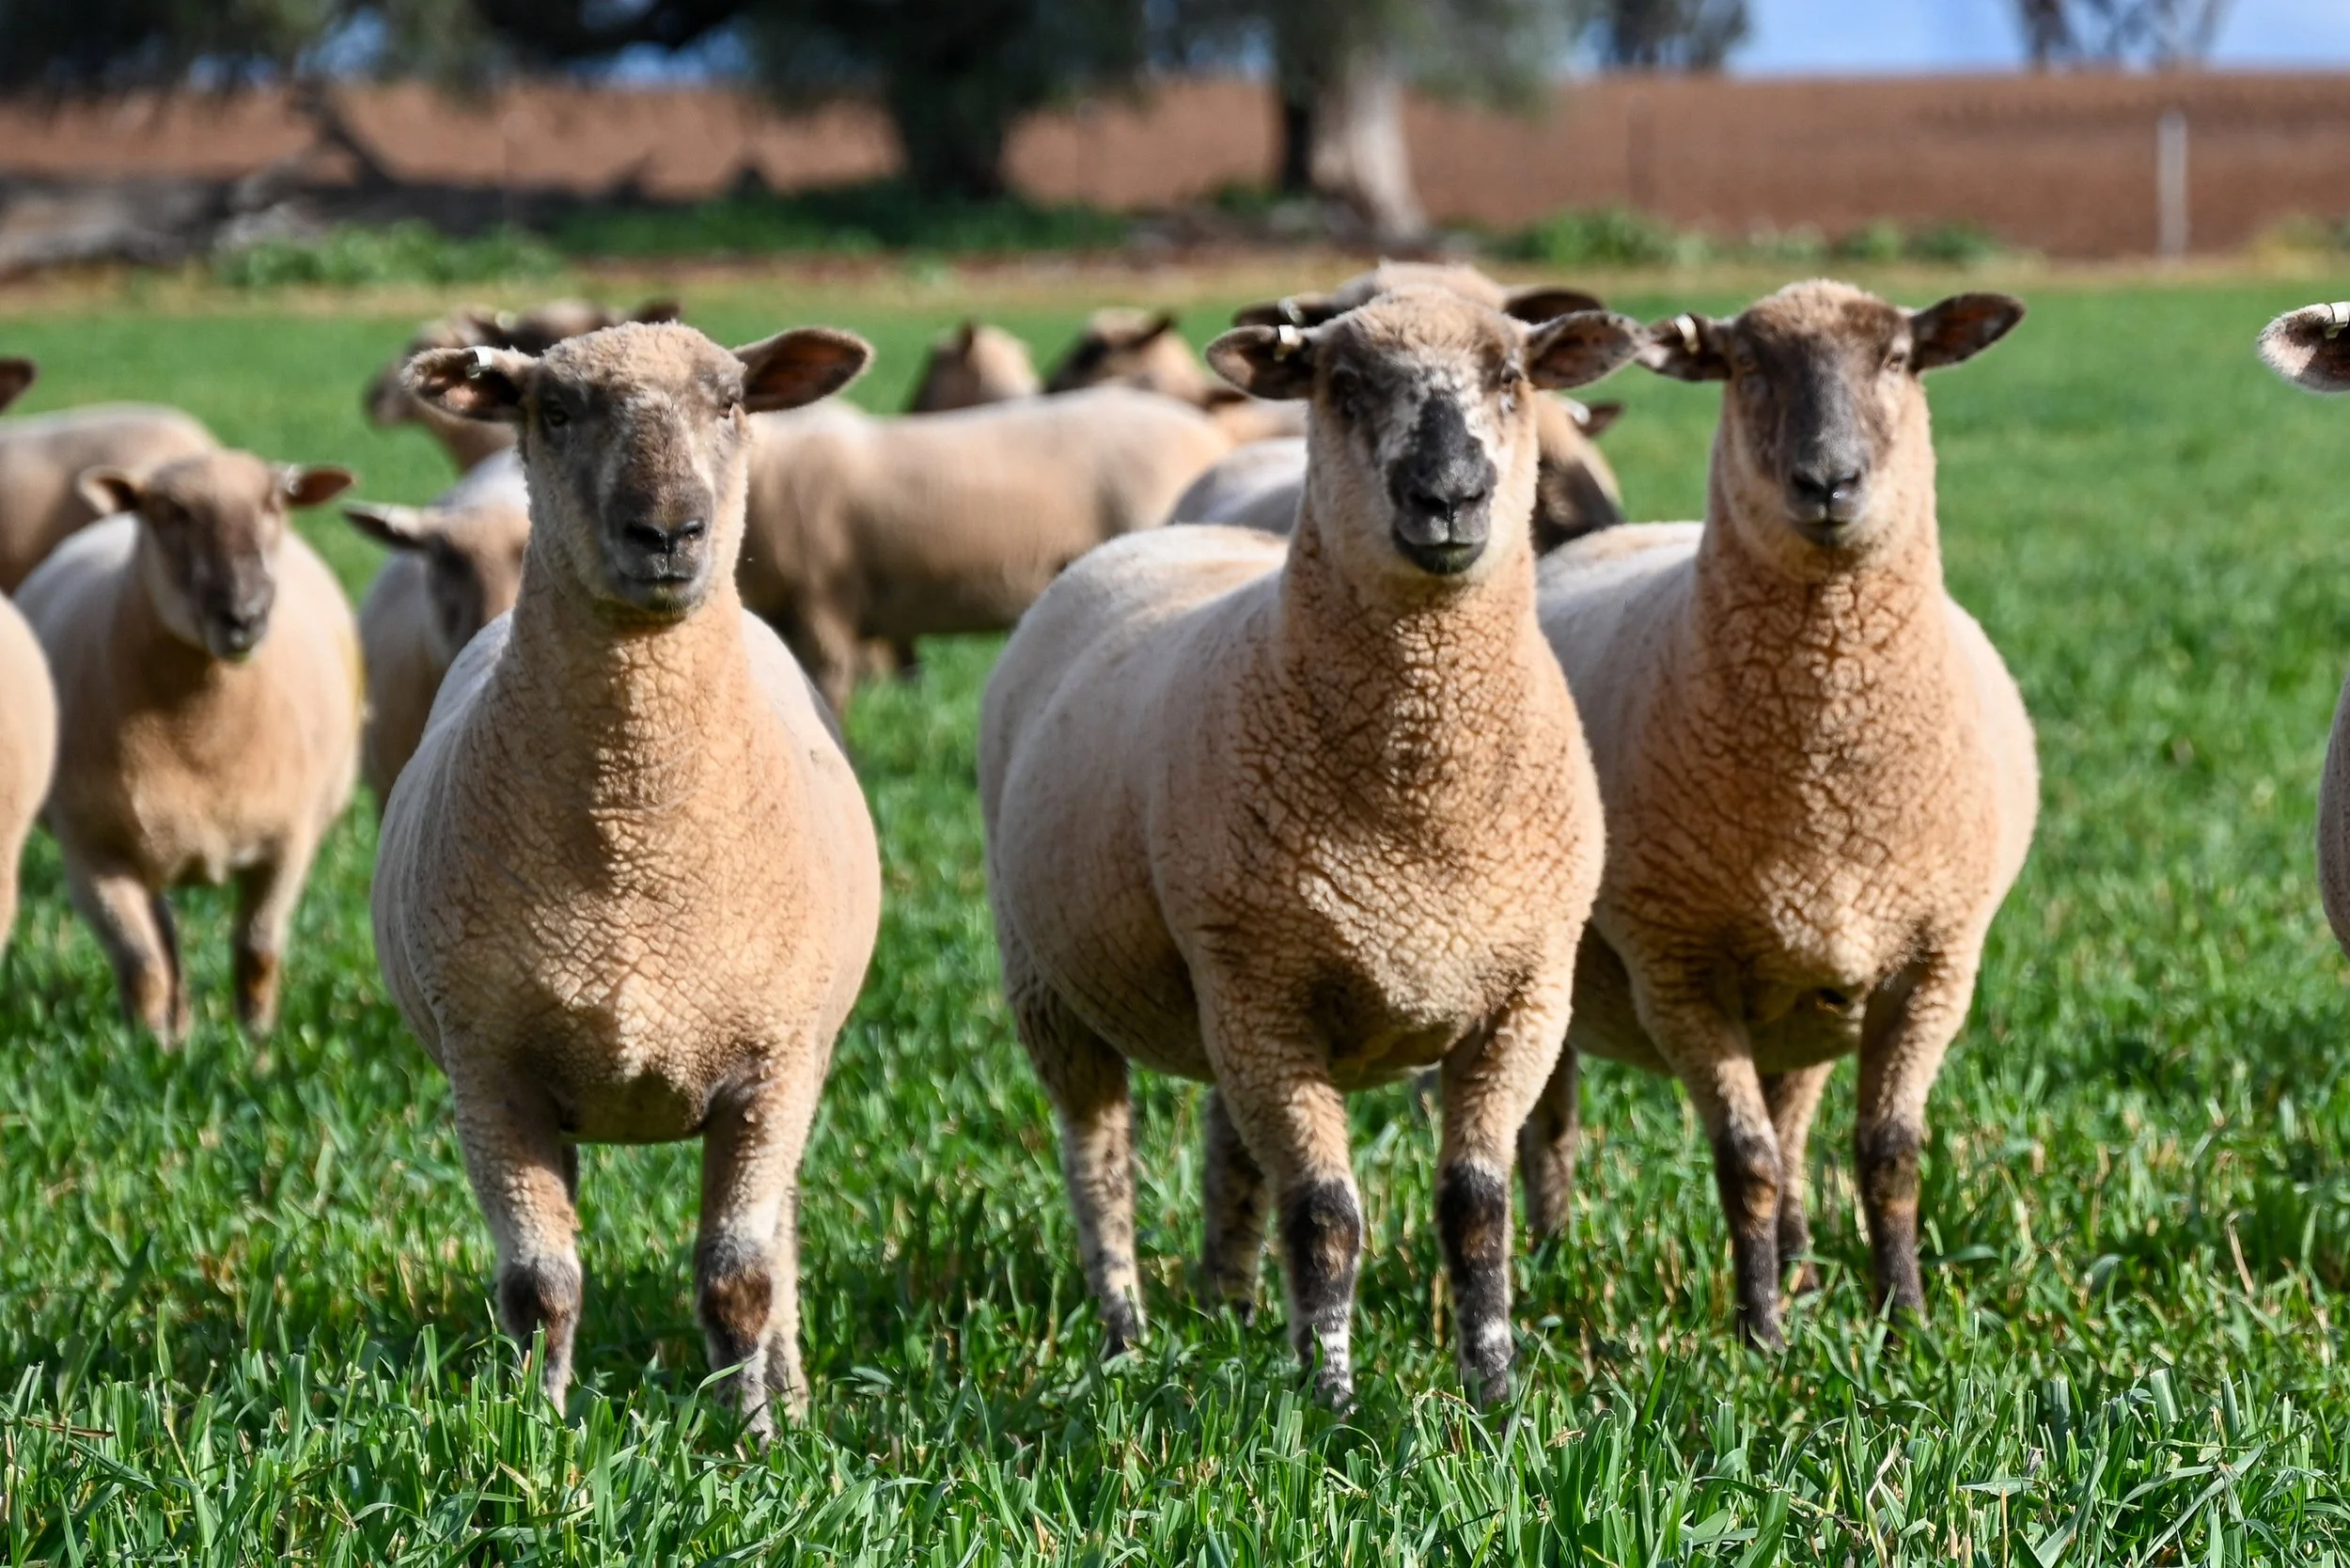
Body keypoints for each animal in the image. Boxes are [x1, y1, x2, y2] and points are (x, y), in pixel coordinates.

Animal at [17, 450, 361, 1039]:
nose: (245, 618)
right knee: (165, 940)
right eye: (172, 511)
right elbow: (143, 965)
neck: (199, 739)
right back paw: (175, 1031)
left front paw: (256, 1046)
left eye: (275, 503)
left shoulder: (289, 844)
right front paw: (150, 1049)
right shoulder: (92, 851)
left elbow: (257, 952)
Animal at [373, 320, 882, 1434]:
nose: (668, 531)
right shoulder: (491, 1071)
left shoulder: (772, 1065)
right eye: (554, 410)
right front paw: (535, 1434)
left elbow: (739, 1278)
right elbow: (541, 1284)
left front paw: (756, 1438)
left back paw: (791, 1391)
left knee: (779, 1237)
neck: (635, 858)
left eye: (731, 403)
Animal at [979, 289, 1641, 1407]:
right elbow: (1326, 1215)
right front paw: (1332, 1400)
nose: (1449, 495)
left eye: (1512, 375)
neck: (1421, 814)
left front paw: (1493, 1393)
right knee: (1097, 1161)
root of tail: (1154, 540)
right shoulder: (1268, 993)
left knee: (1227, 1149)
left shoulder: (1521, 999)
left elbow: (1477, 1208)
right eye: (1344, 384)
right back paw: (1126, 1336)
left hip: (1220, 1000)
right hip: (1055, 985)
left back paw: (1230, 1307)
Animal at [1520, 280, 2038, 1350]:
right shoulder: (1677, 967)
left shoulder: (1935, 963)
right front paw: (1760, 1338)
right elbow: (1744, 1161)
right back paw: (1545, 1259)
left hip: (1801, 1000)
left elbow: (1889, 1152)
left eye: (1897, 358)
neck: (1824, 788)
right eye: (1745, 365)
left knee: (1793, 1120)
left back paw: (1801, 1266)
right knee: (1544, 1124)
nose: (1828, 483)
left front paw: (1903, 1321)